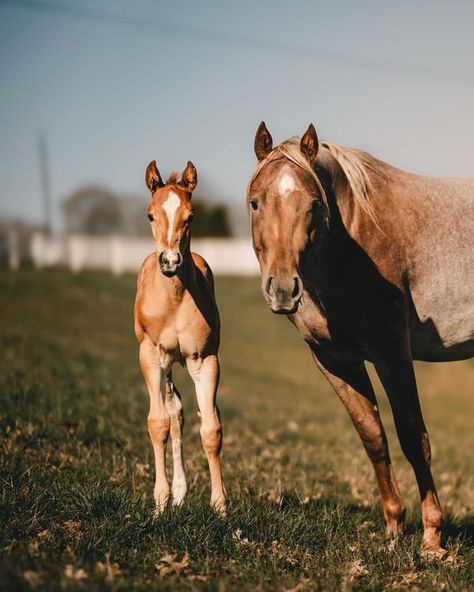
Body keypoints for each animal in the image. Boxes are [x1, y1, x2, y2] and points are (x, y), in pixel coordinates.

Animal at [135, 158, 226, 512]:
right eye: (150, 214)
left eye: (191, 216)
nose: (171, 261)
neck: (174, 299)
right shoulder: (152, 356)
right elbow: (157, 423)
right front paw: (159, 504)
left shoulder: (204, 359)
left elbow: (211, 429)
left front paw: (220, 507)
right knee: (172, 413)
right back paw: (174, 493)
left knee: (180, 413)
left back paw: (181, 491)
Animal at [246, 121, 472, 556]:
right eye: (255, 203)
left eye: (314, 205)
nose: (282, 289)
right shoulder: (336, 360)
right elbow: (373, 437)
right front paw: (394, 527)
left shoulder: (392, 355)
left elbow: (412, 438)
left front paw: (432, 537)